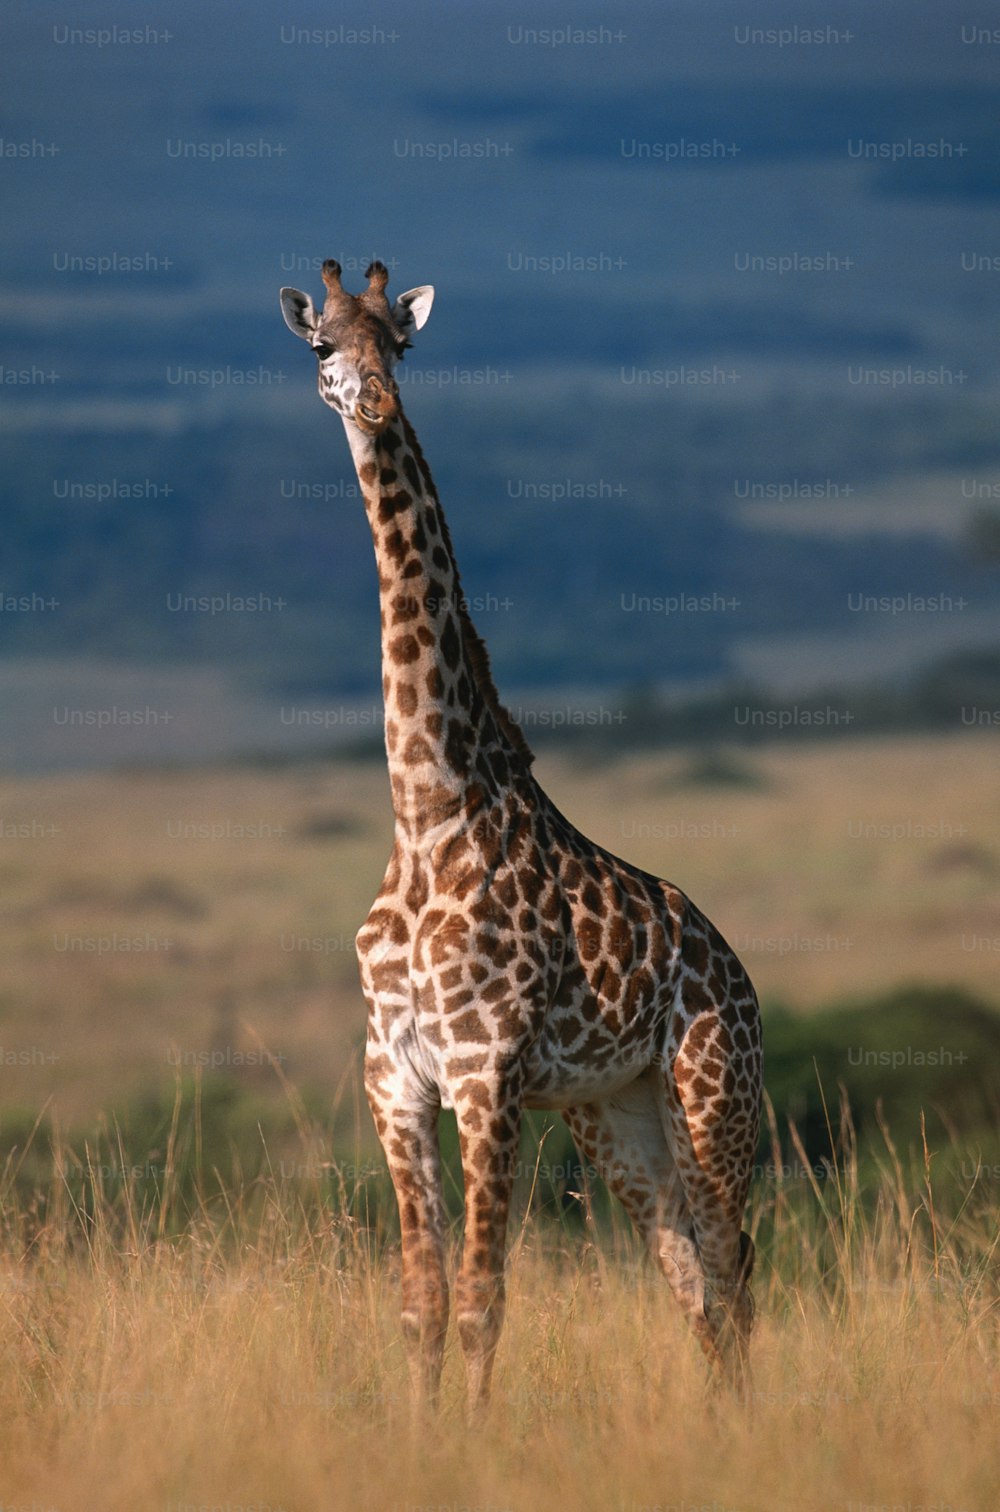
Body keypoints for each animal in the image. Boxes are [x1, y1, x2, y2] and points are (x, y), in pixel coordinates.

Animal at [276, 263, 759, 1415]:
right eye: (322, 346)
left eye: (400, 344)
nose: (375, 403)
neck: (424, 809)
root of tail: (740, 976)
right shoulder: (396, 1078)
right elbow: (420, 1302)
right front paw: (419, 1436)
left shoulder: (484, 1076)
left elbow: (485, 1298)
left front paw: (474, 1439)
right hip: (616, 1114)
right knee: (691, 1277)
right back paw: (721, 1427)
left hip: (712, 1091)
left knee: (736, 1266)